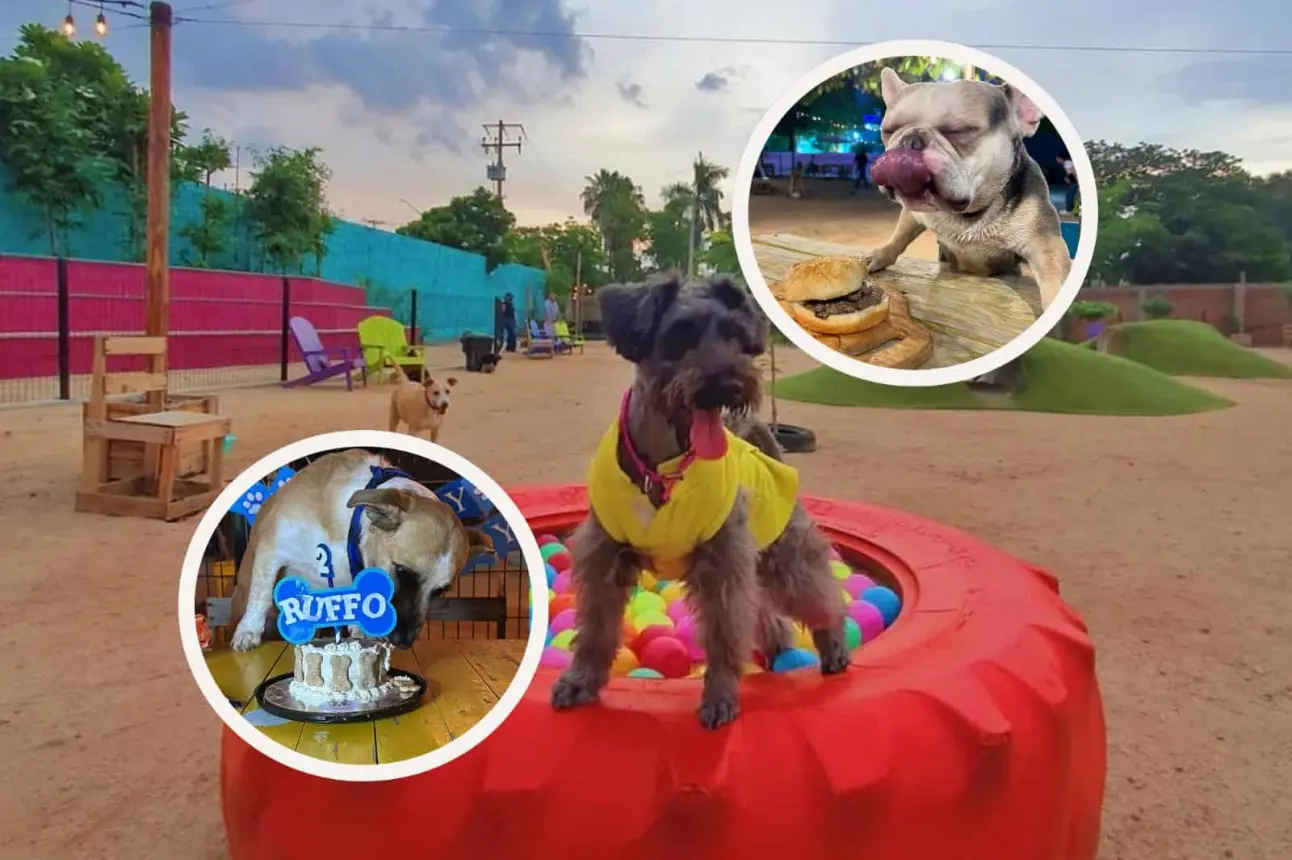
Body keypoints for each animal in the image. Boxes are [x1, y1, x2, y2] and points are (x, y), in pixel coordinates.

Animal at [227, 451, 493, 645]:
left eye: (440, 592)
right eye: (402, 572)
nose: (404, 642)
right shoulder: (271, 551)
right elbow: (260, 595)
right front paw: (248, 631)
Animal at [550, 271, 852, 728]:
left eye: (736, 334)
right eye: (681, 332)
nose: (731, 384)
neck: (662, 468)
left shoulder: (722, 565)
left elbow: (724, 636)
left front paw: (720, 697)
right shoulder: (604, 557)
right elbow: (596, 629)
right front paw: (580, 681)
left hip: (787, 561)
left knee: (822, 598)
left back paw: (834, 648)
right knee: (769, 616)